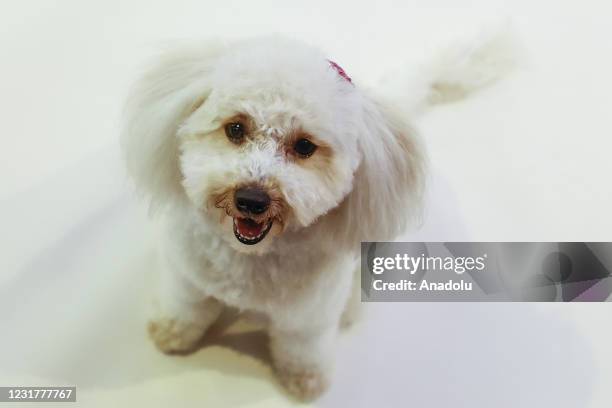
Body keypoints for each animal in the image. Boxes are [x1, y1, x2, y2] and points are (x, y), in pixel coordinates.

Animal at [122, 33, 520, 400]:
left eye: (304, 146)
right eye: (236, 128)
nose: (251, 199)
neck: (251, 258)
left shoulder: (308, 316)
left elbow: (302, 347)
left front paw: (306, 380)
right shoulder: (187, 278)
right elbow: (185, 308)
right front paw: (172, 335)